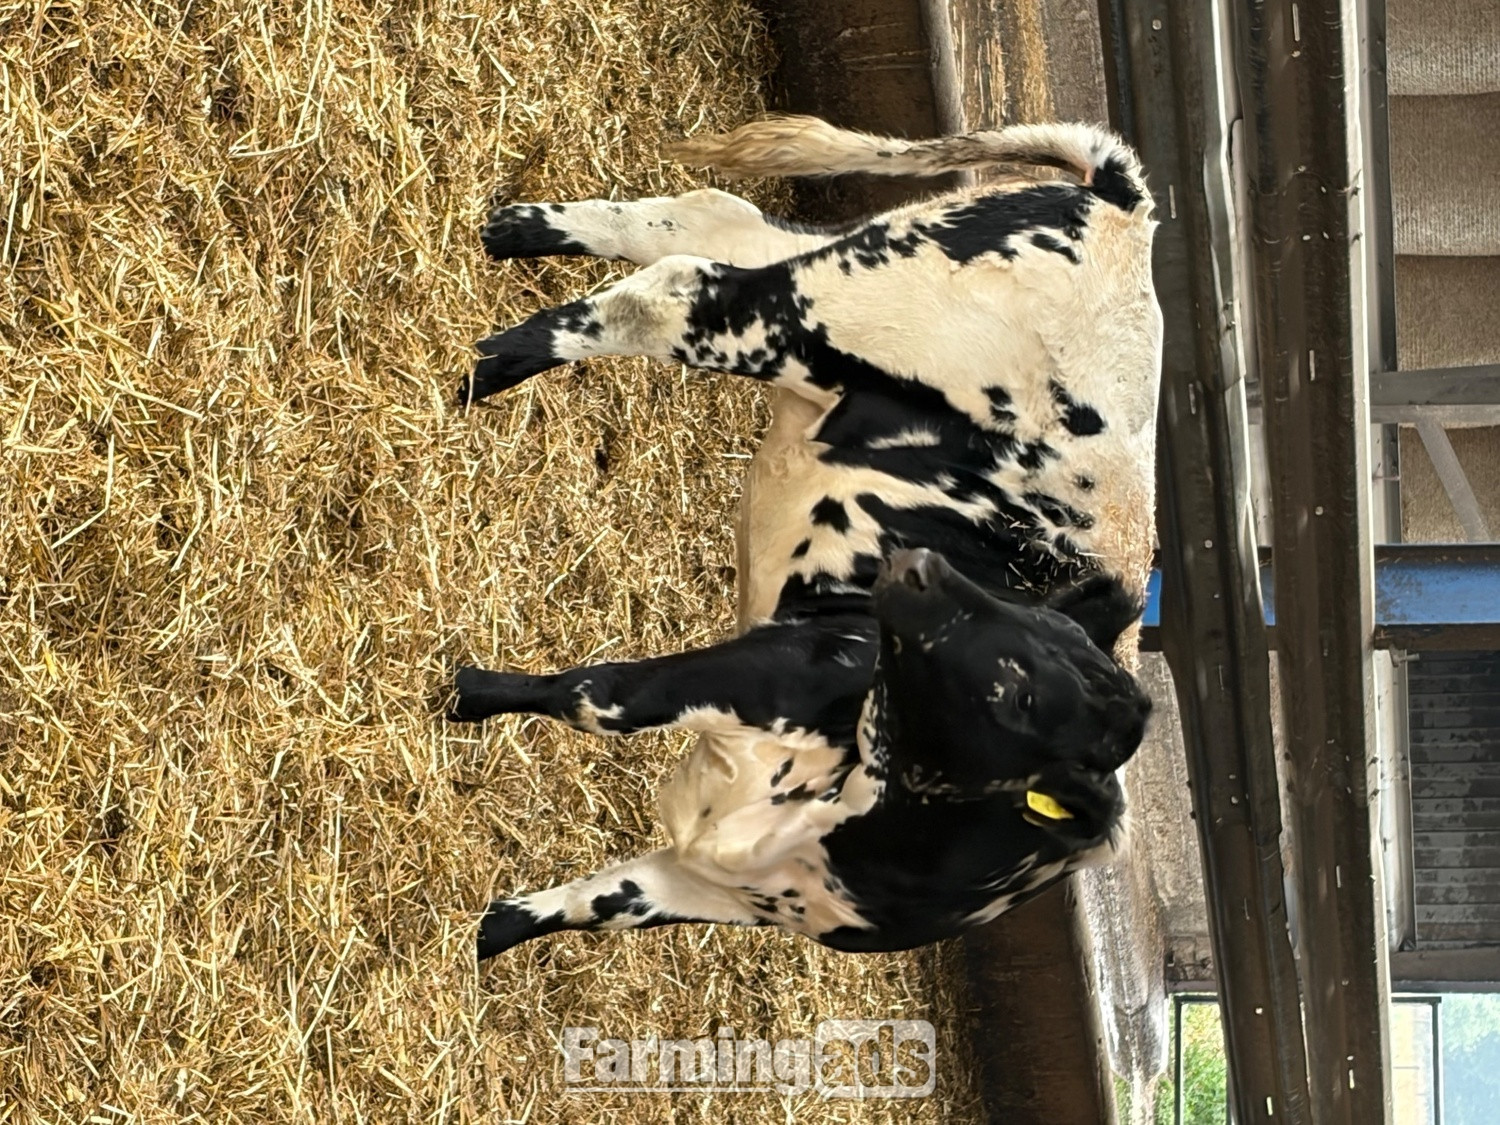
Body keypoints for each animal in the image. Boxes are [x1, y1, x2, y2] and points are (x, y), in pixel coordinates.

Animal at [449, 115, 1162, 960]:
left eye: (1025, 694)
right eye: (1023, 671)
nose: (919, 568)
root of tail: (1128, 211)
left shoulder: (719, 888)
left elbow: (581, 905)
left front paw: (477, 942)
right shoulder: (785, 662)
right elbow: (602, 696)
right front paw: (463, 691)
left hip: (836, 286)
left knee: (703, 223)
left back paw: (514, 231)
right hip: (822, 311)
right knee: (678, 288)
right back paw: (481, 367)